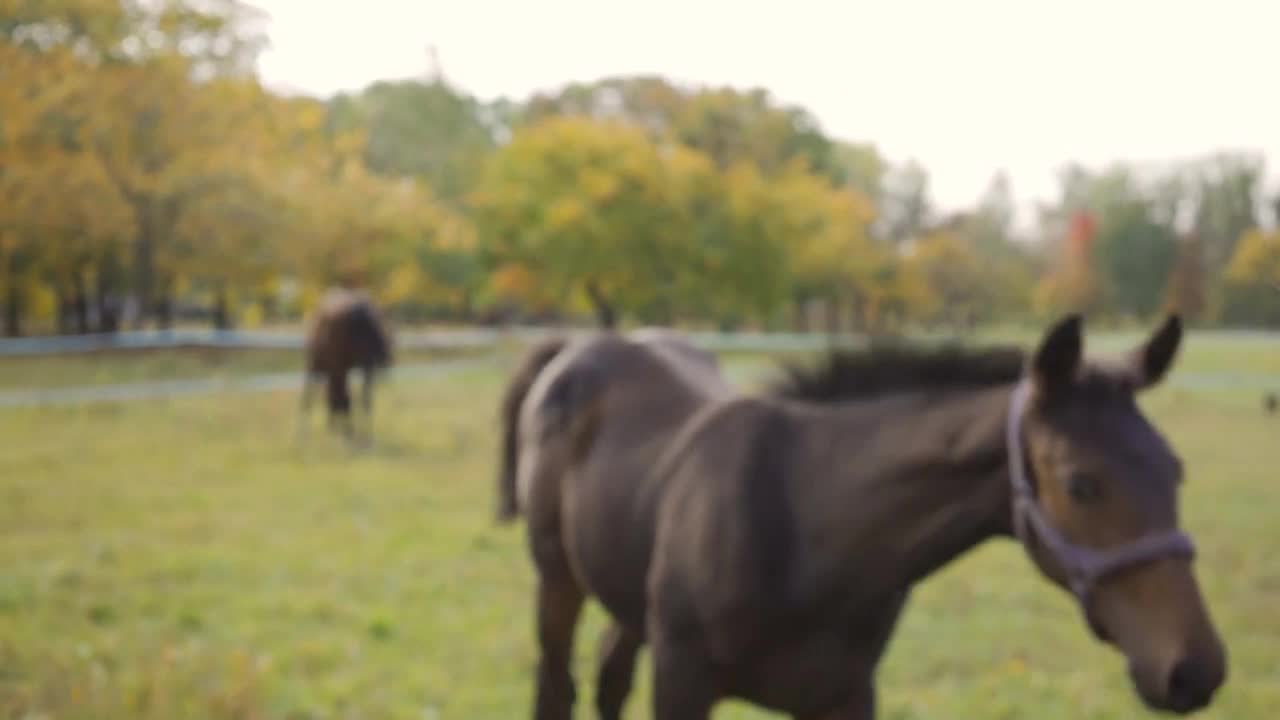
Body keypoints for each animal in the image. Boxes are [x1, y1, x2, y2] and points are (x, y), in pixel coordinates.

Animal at [298, 285, 389, 438]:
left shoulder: (315, 366)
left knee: (352, 397)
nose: (331, 425)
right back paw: (366, 435)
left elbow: (310, 398)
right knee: (365, 398)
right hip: (365, 365)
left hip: (341, 366)